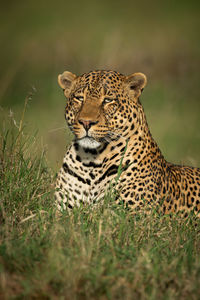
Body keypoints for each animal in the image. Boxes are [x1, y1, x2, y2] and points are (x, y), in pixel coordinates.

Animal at [54, 69, 200, 217]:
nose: (86, 122)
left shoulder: (132, 215)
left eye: (108, 100)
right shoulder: (61, 210)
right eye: (79, 98)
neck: (91, 161)